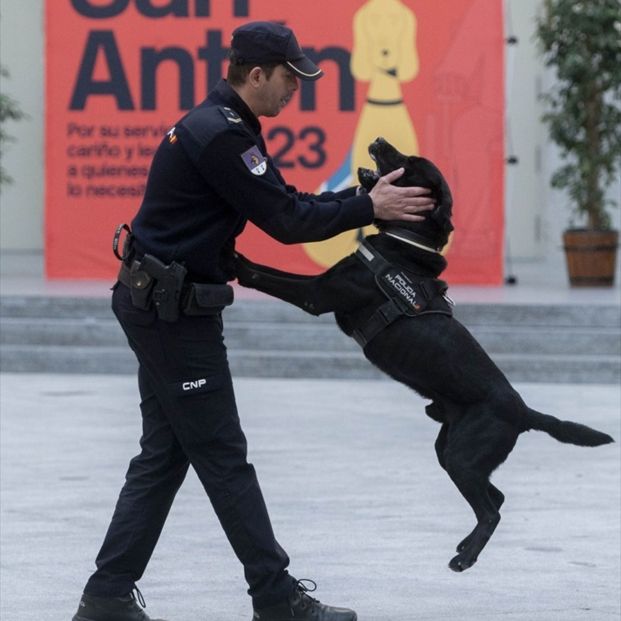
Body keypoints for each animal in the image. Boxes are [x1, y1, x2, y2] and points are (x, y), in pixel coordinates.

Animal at [235, 139, 612, 572]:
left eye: (409, 162)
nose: (378, 141)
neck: (405, 242)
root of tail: (524, 412)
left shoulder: (316, 294)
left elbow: (268, 275)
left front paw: (235, 262)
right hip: (448, 450)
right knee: (496, 497)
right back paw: (465, 545)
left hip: (463, 455)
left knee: (491, 510)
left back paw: (466, 558)